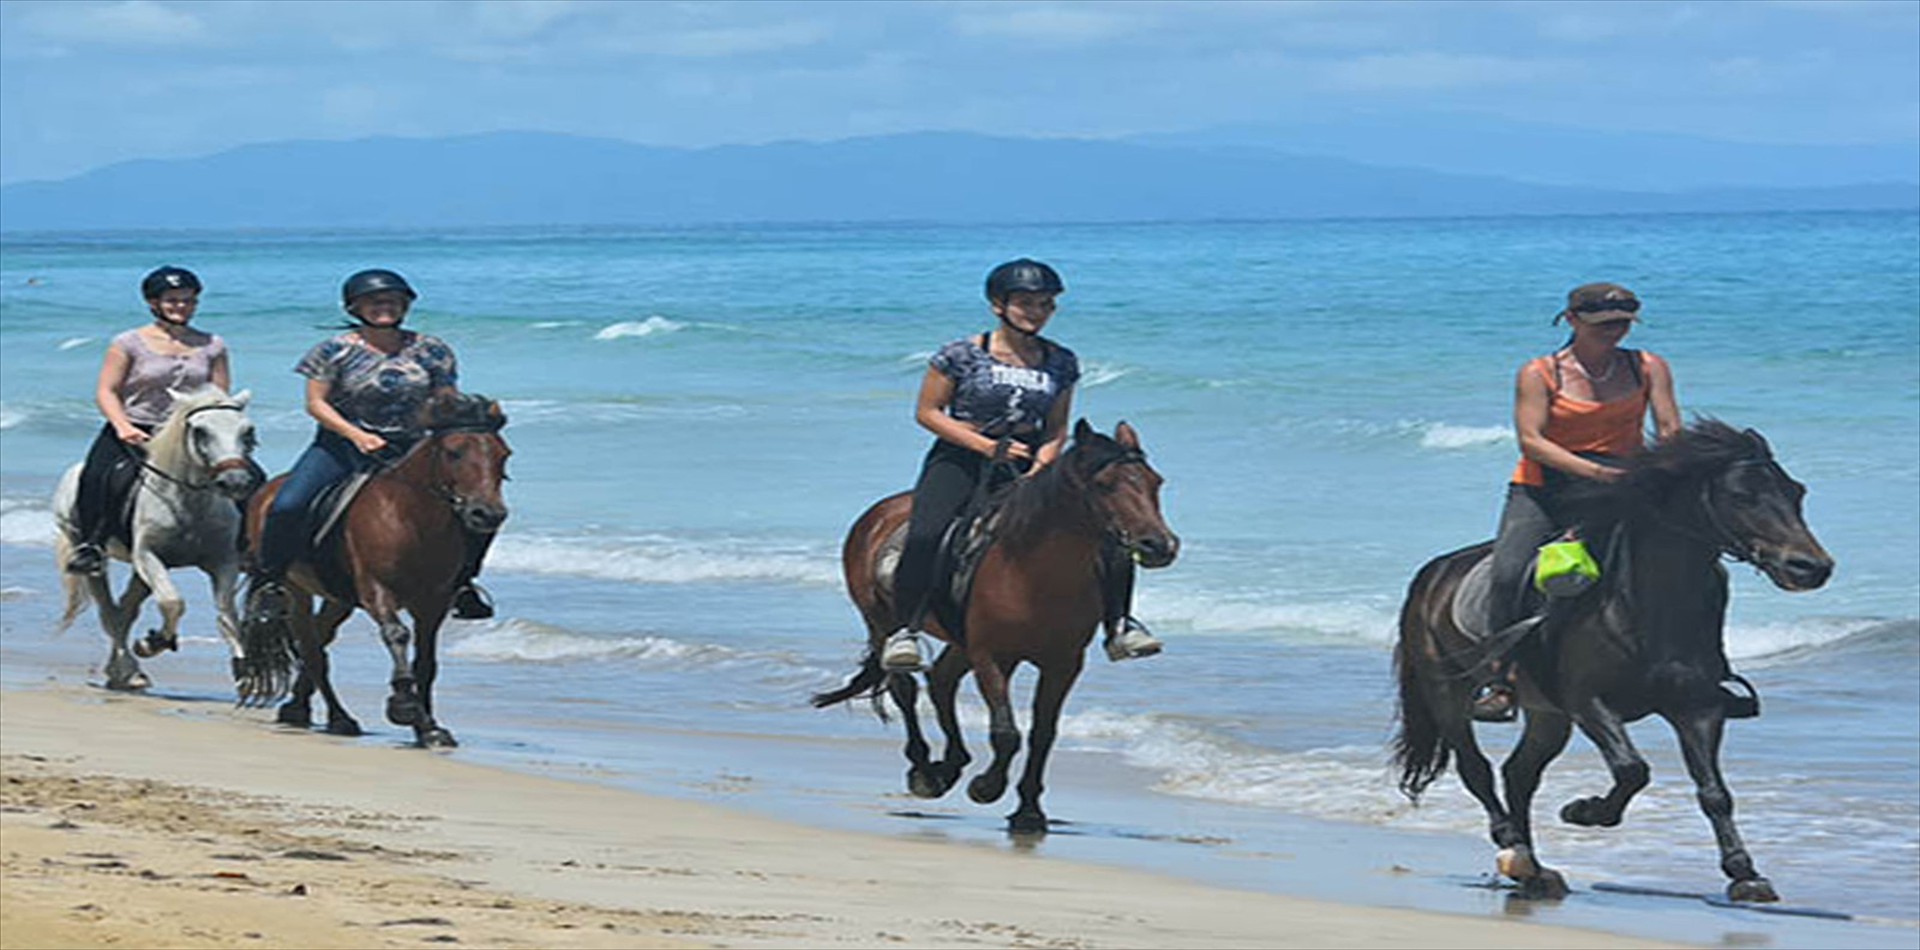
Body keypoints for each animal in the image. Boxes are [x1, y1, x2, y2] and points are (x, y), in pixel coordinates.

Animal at [53, 385, 264, 690]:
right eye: (200, 431)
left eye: (247, 431)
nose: (235, 482)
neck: (188, 504)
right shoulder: (147, 556)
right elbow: (173, 602)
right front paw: (152, 643)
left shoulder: (224, 562)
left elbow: (227, 614)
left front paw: (245, 670)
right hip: (91, 558)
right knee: (110, 613)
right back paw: (127, 670)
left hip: (140, 573)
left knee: (125, 611)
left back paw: (124, 671)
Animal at [237, 393, 510, 752]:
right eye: (454, 452)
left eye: (504, 454)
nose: (487, 514)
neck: (414, 519)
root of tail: (269, 490)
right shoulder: (377, 590)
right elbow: (397, 635)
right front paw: (405, 706)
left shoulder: (433, 603)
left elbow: (426, 662)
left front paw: (429, 728)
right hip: (296, 590)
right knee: (311, 650)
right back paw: (339, 718)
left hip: (338, 598)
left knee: (320, 641)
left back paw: (298, 708)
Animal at [814, 422, 1175, 832]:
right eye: (1105, 485)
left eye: (1156, 482)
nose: (1160, 545)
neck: (1035, 573)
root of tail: (877, 514)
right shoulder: (992, 655)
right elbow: (1006, 732)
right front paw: (986, 787)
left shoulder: (1063, 663)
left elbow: (1042, 734)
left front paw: (1029, 811)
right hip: (882, 624)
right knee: (904, 688)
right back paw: (926, 772)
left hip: (960, 641)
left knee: (940, 681)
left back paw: (950, 766)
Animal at [1397, 420, 1827, 902]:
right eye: (1741, 496)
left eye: (1796, 492)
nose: (1811, 567)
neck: (1650, 604)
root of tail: (1433, 573)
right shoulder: (1589, 703)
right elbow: (1632, 769)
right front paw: (1583, 811)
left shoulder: (1697, 707)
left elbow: (1714, 792)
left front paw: (1745, 873)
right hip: (1447, 694)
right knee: (1477, 770)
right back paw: (1514, 849)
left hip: (1547, 714)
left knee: (1518, 774)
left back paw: (1534, 870)